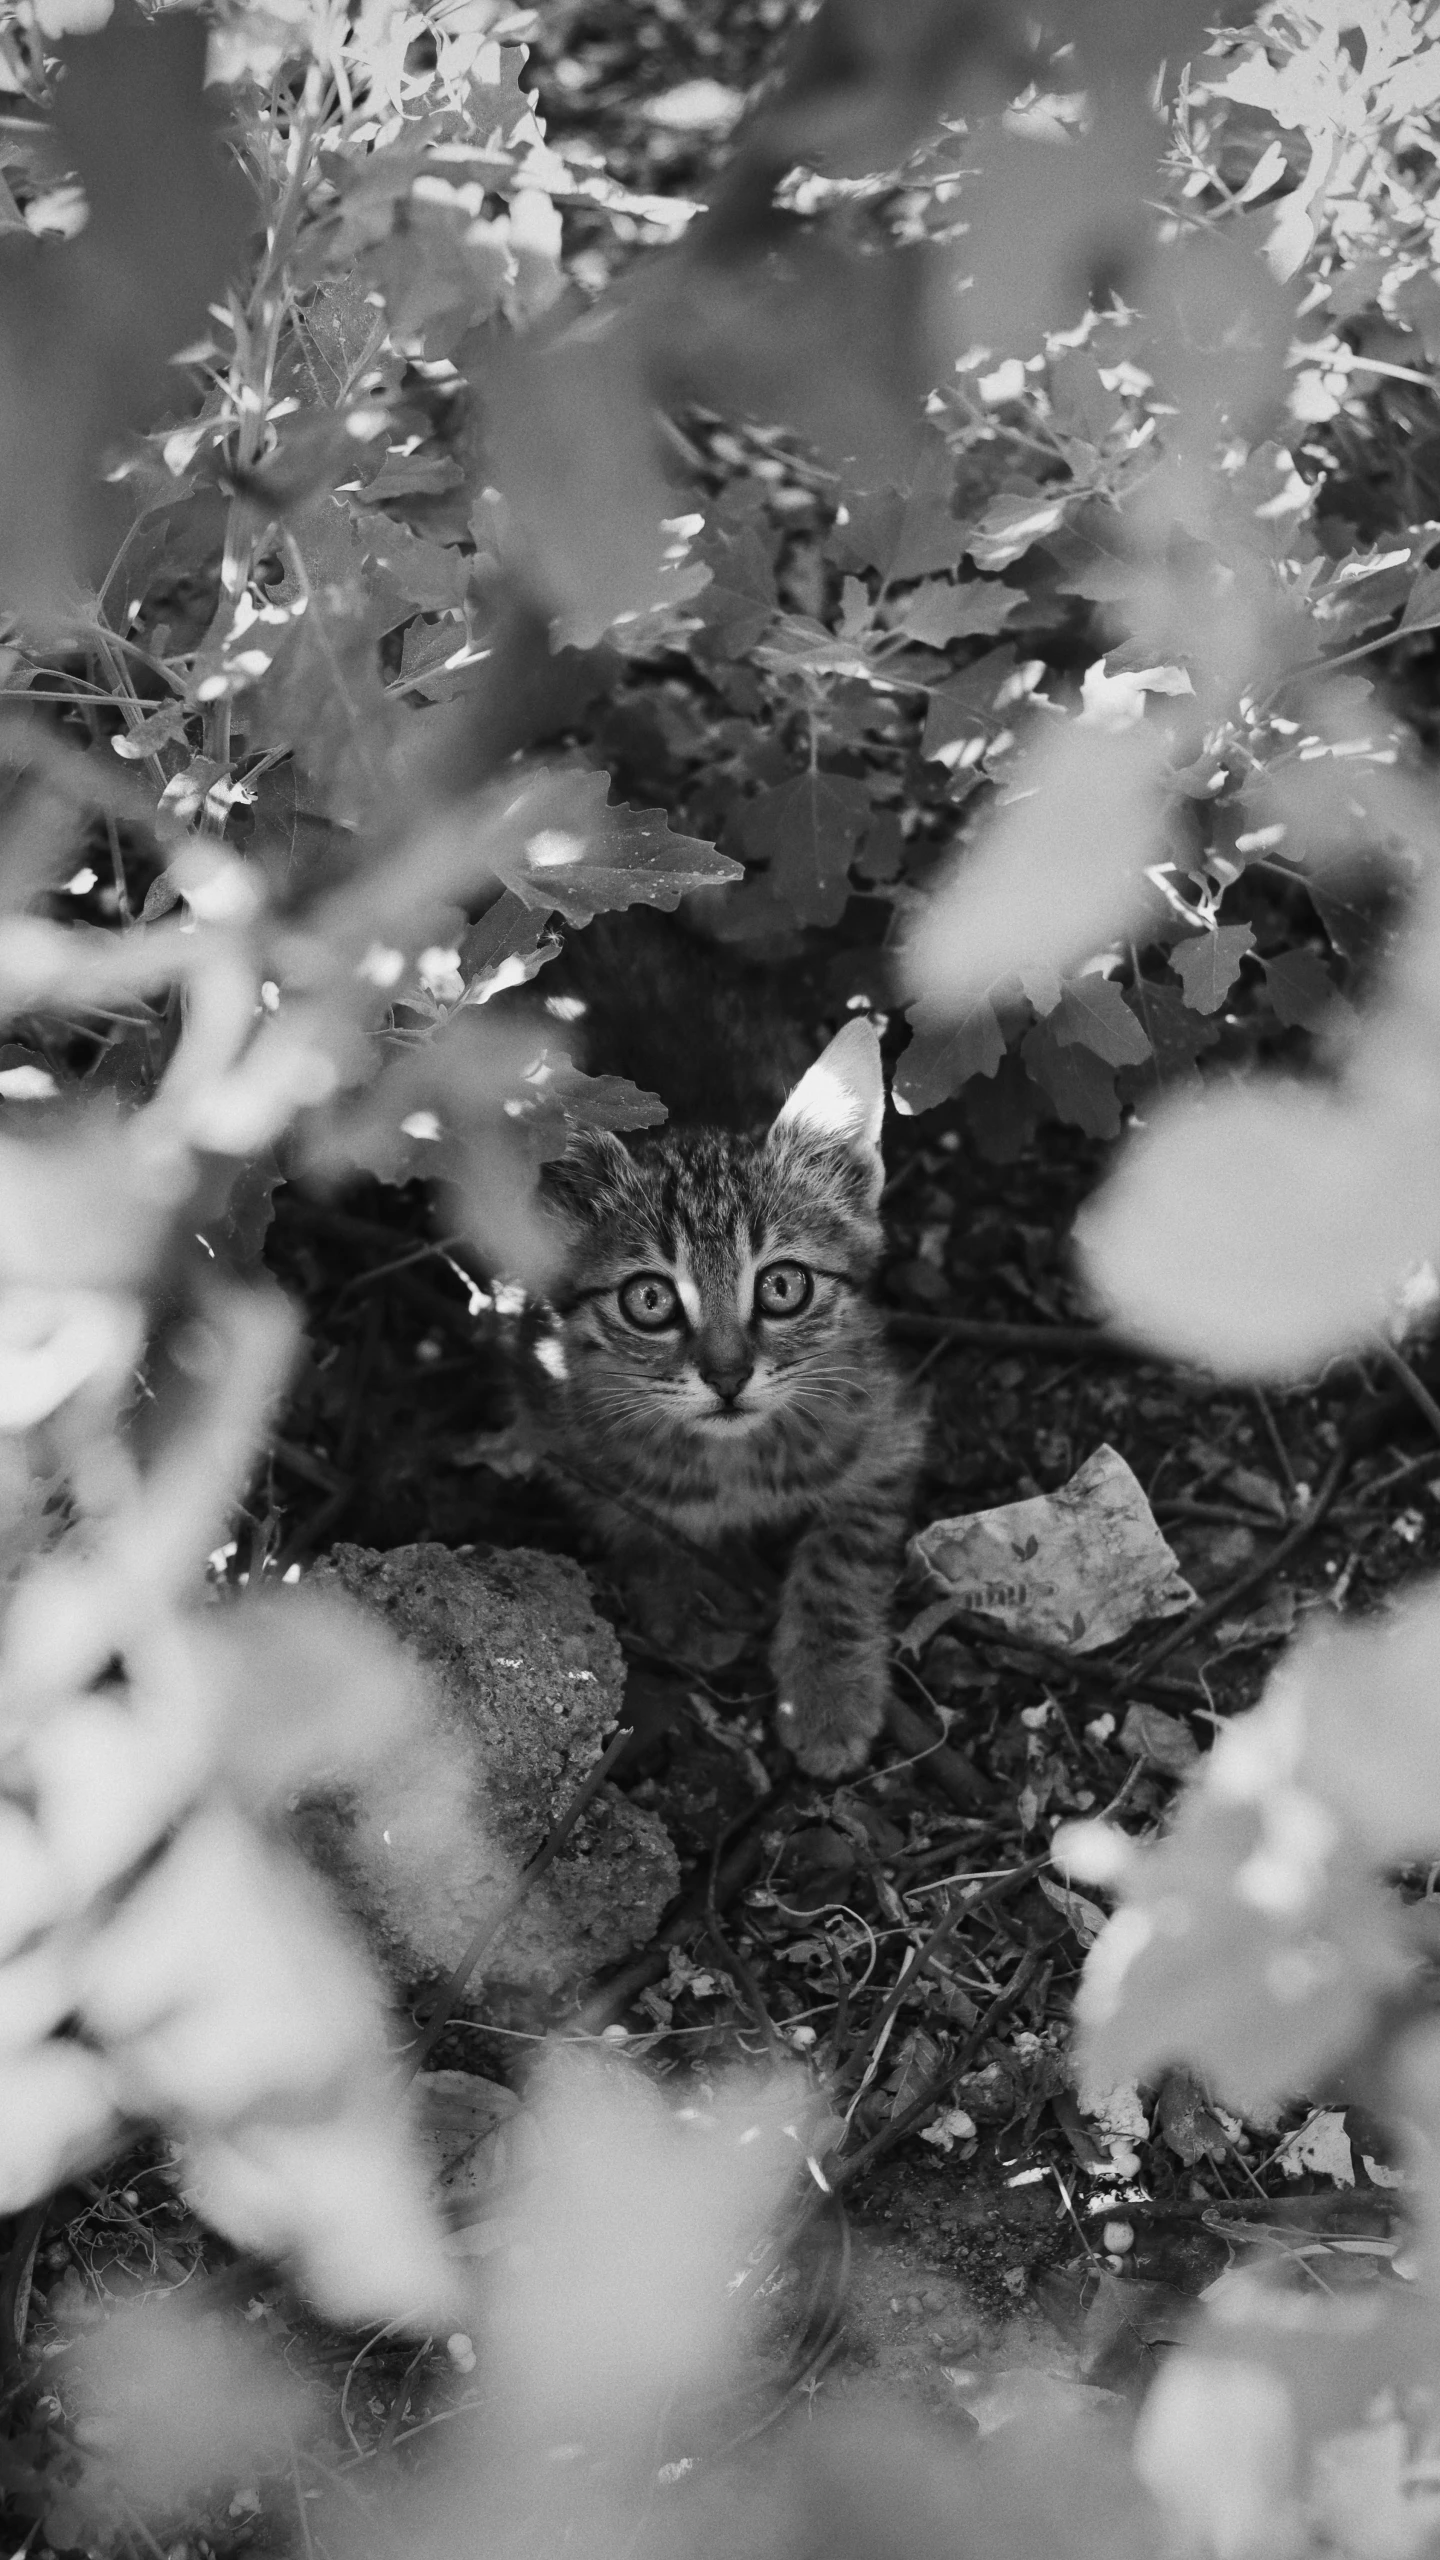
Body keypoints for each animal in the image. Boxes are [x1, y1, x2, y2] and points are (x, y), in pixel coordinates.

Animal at [535, 1018, 917, 1781]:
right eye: (650, 1300)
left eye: (782, 1286)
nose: (729, 1375)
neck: (732, 1455)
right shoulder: (553, 1427)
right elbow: (635, 1513)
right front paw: (691, 1598)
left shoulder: (888, 1431)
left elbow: (843, 1552)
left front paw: (829, 1693)